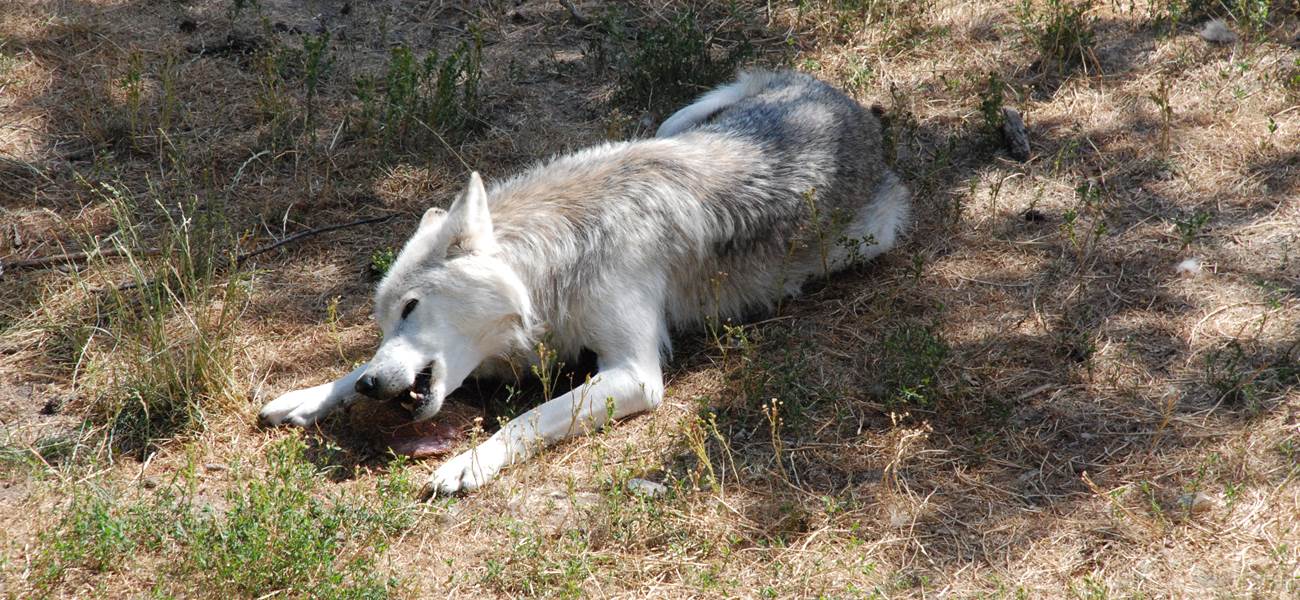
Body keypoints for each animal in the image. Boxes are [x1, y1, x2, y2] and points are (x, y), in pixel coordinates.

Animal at [258, 70, 909, 493]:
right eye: (383, 317)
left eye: (412, 306)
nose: (373, 388)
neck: (556, 261)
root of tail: (838, 98)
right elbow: (351, 369)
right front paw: (311, 394)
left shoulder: (634, 374)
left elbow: (526, 419)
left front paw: (470, 464)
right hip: (686, 119)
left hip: (872, 235)